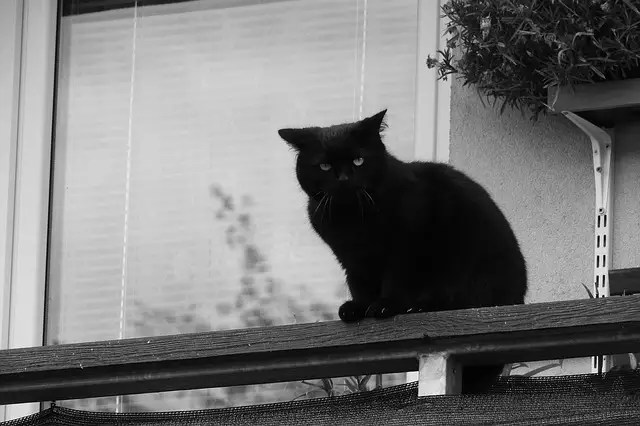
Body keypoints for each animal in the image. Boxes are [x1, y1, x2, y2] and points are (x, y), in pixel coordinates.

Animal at [278, 110, 528, 392]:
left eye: (358, 160)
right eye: (324, 166)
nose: (343, 178)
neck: (353, 220)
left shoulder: (405, 247)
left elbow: (396, 279)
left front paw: (385, 306)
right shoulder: (352, 260)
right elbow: (359, 284)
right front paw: (357, 308)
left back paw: (419, 307)